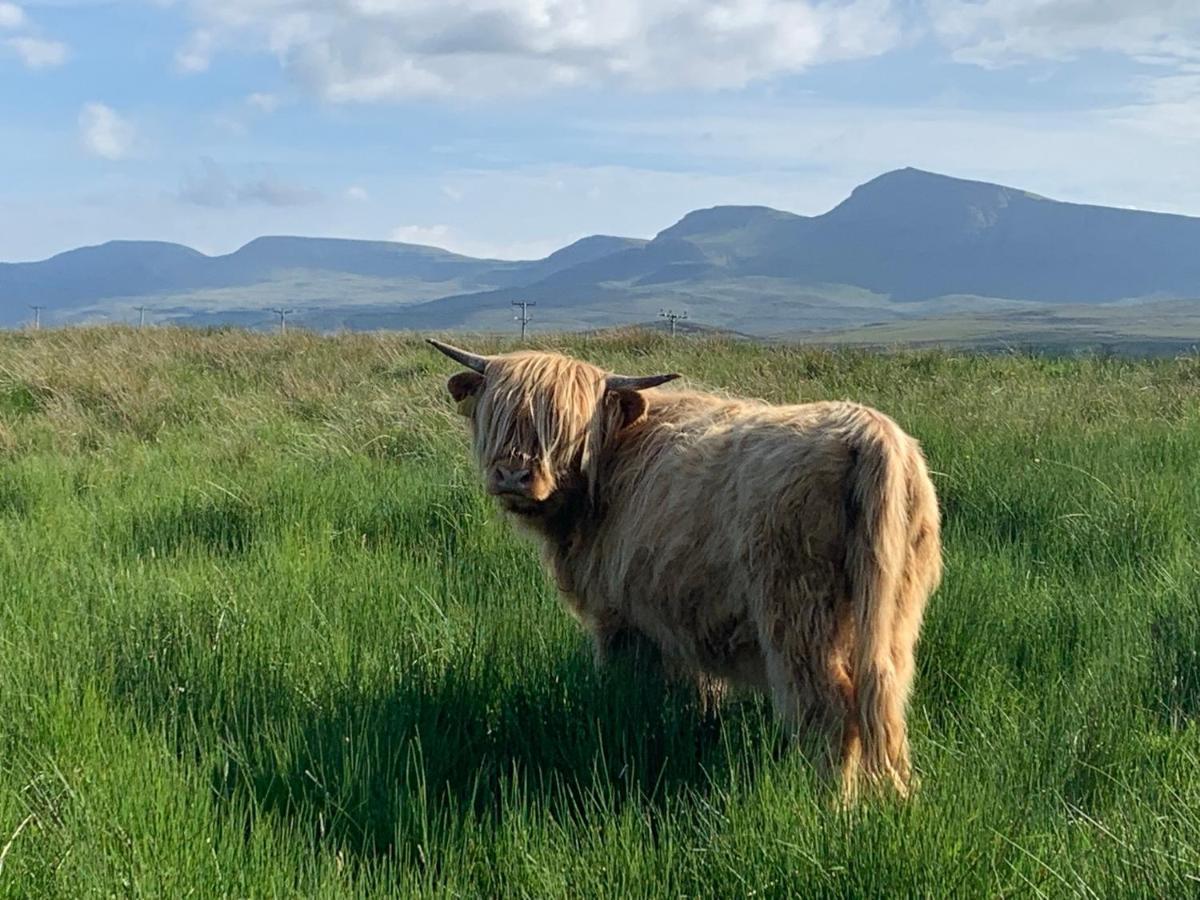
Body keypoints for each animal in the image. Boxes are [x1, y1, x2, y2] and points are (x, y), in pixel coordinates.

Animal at [427, 340, 940, 801]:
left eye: (563, 428)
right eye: (497, 413)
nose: (513, 476)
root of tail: (866, 431)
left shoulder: (619, 620)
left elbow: (627, 688)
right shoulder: (690, 623)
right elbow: (699, 696)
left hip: (799, 613)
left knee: (828, 707)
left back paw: (832, 804)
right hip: (893, 614)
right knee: (885, 697)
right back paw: (895, 796)